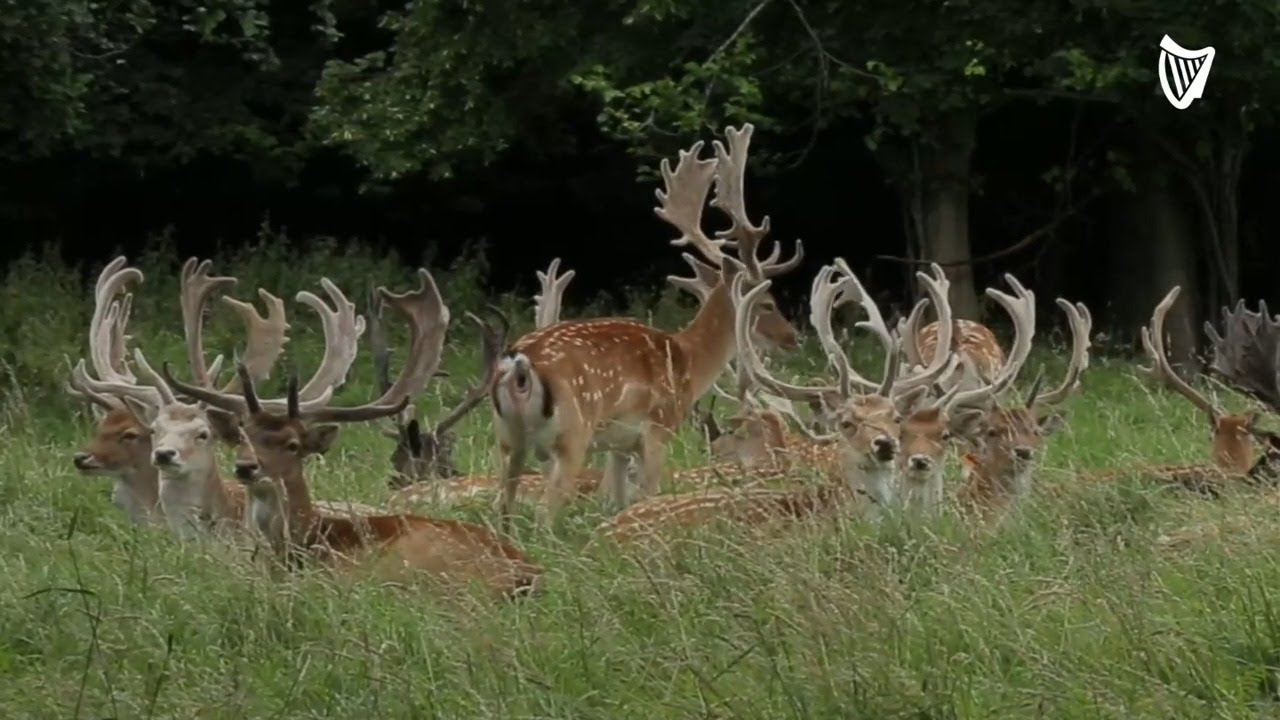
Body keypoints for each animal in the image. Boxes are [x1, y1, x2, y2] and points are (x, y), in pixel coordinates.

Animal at [490, 123, 804, 530]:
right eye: (766, 303)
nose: (793, 337)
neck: (690, 362)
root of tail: (518, 365)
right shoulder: (658, 429)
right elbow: (647, 493)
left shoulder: (619, 443)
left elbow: (615, 499)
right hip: (572, 433)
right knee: (546, 511)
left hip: (507, 438)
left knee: (503, 506)